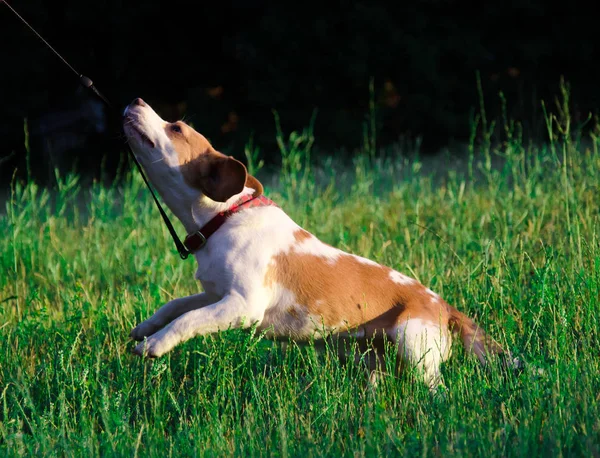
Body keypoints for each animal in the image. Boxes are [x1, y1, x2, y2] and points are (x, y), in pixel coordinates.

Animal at [122, 96, 510, 390]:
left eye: (176, 128)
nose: (136, 99)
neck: (225, 217)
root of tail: (446, 307)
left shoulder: (242, 305)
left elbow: (188, 320)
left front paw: (155, 344)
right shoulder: (216, 294)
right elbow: (177, 306)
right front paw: (145, 329)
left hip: (414, 346)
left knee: (436, 389)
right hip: (376, 358)